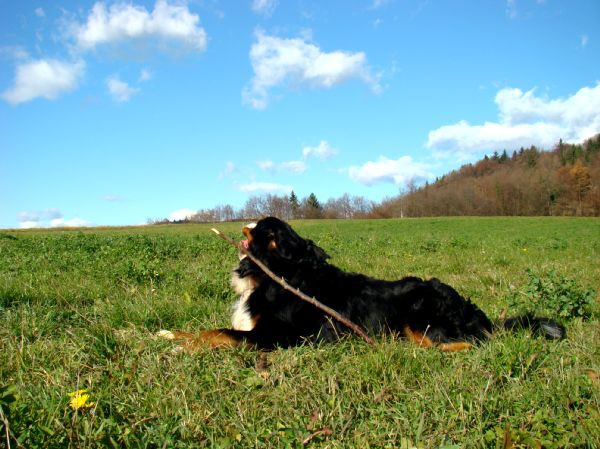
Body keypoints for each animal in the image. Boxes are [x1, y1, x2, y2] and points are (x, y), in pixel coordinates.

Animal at [158, 216, 564, 350]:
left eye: (267, 231)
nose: (246, 224)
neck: (281, 278)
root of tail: (475, 312)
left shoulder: (275, 336)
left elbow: (220, 333)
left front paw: (181, 347)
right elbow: (203, 329)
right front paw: (167, 334)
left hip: (422, 318)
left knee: (471, 344)